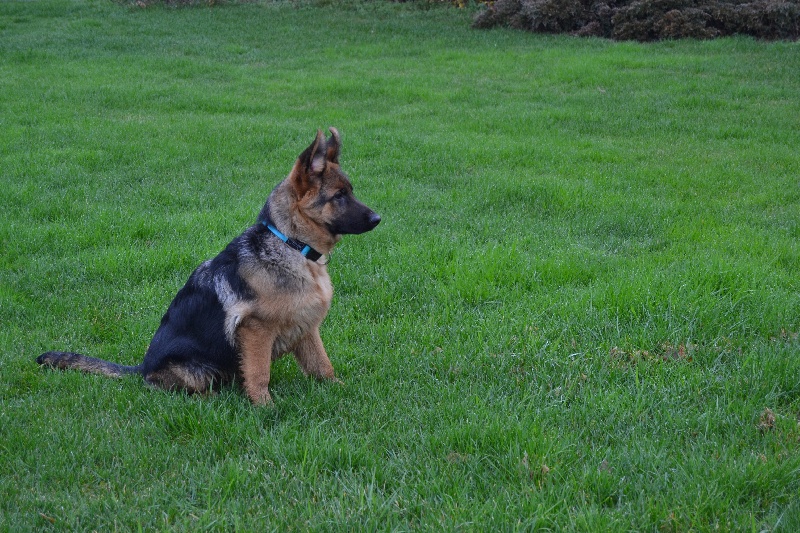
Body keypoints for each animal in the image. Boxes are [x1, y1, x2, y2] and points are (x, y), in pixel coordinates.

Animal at [34, 128, 378, 404]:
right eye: (339, 196)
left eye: (350, 191)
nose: (378, 218)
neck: (291, 244)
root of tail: (141, 368)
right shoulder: (256, 330)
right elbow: (259, 374)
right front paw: (264, 408)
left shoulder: (306, 327)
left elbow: (322, 366)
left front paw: (340, 390)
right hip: (196, 368)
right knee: (172, 389)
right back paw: (213, 400)